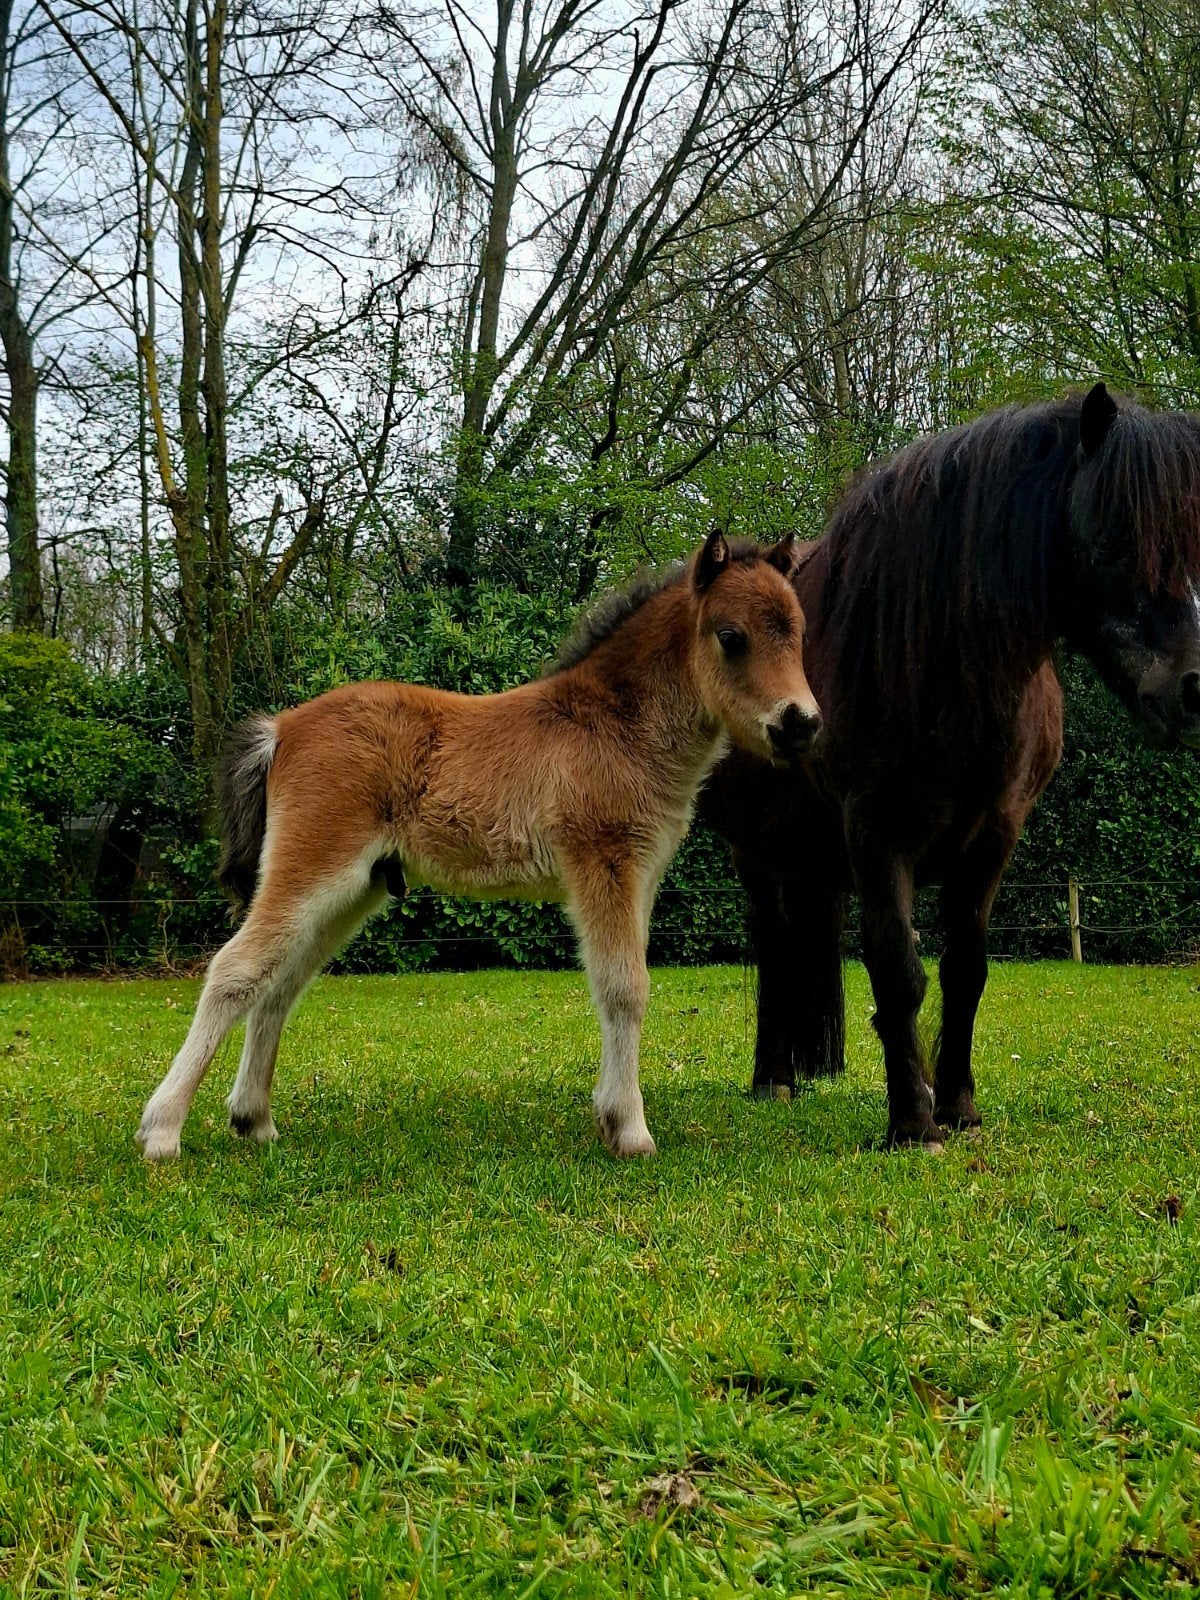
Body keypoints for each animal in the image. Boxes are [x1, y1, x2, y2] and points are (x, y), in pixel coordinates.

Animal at [136, 528, 821, 1163]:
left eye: (798, 633)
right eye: (730, 636)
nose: (801, 724)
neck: (615, 725)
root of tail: (282, 726)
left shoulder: (639, 876)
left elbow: (618, 984)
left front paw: (609, 1116)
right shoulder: (602, 865)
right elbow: (625, 988)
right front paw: (630, 1131)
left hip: (351, 890)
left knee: (279, 984)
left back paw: (253, 1121)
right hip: (312, 867)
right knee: (235, 970)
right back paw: (162, 1131)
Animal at [700, 384, 1200, 1148]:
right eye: (1113, 533)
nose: (1196, 686)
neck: (936, 659)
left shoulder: (994, 835)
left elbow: (966, 970)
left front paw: (958, 1107)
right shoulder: (876, 834)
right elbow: (899, 973)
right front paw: (912, 1122)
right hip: (755, 853)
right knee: (775, 946)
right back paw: (772, 1078)